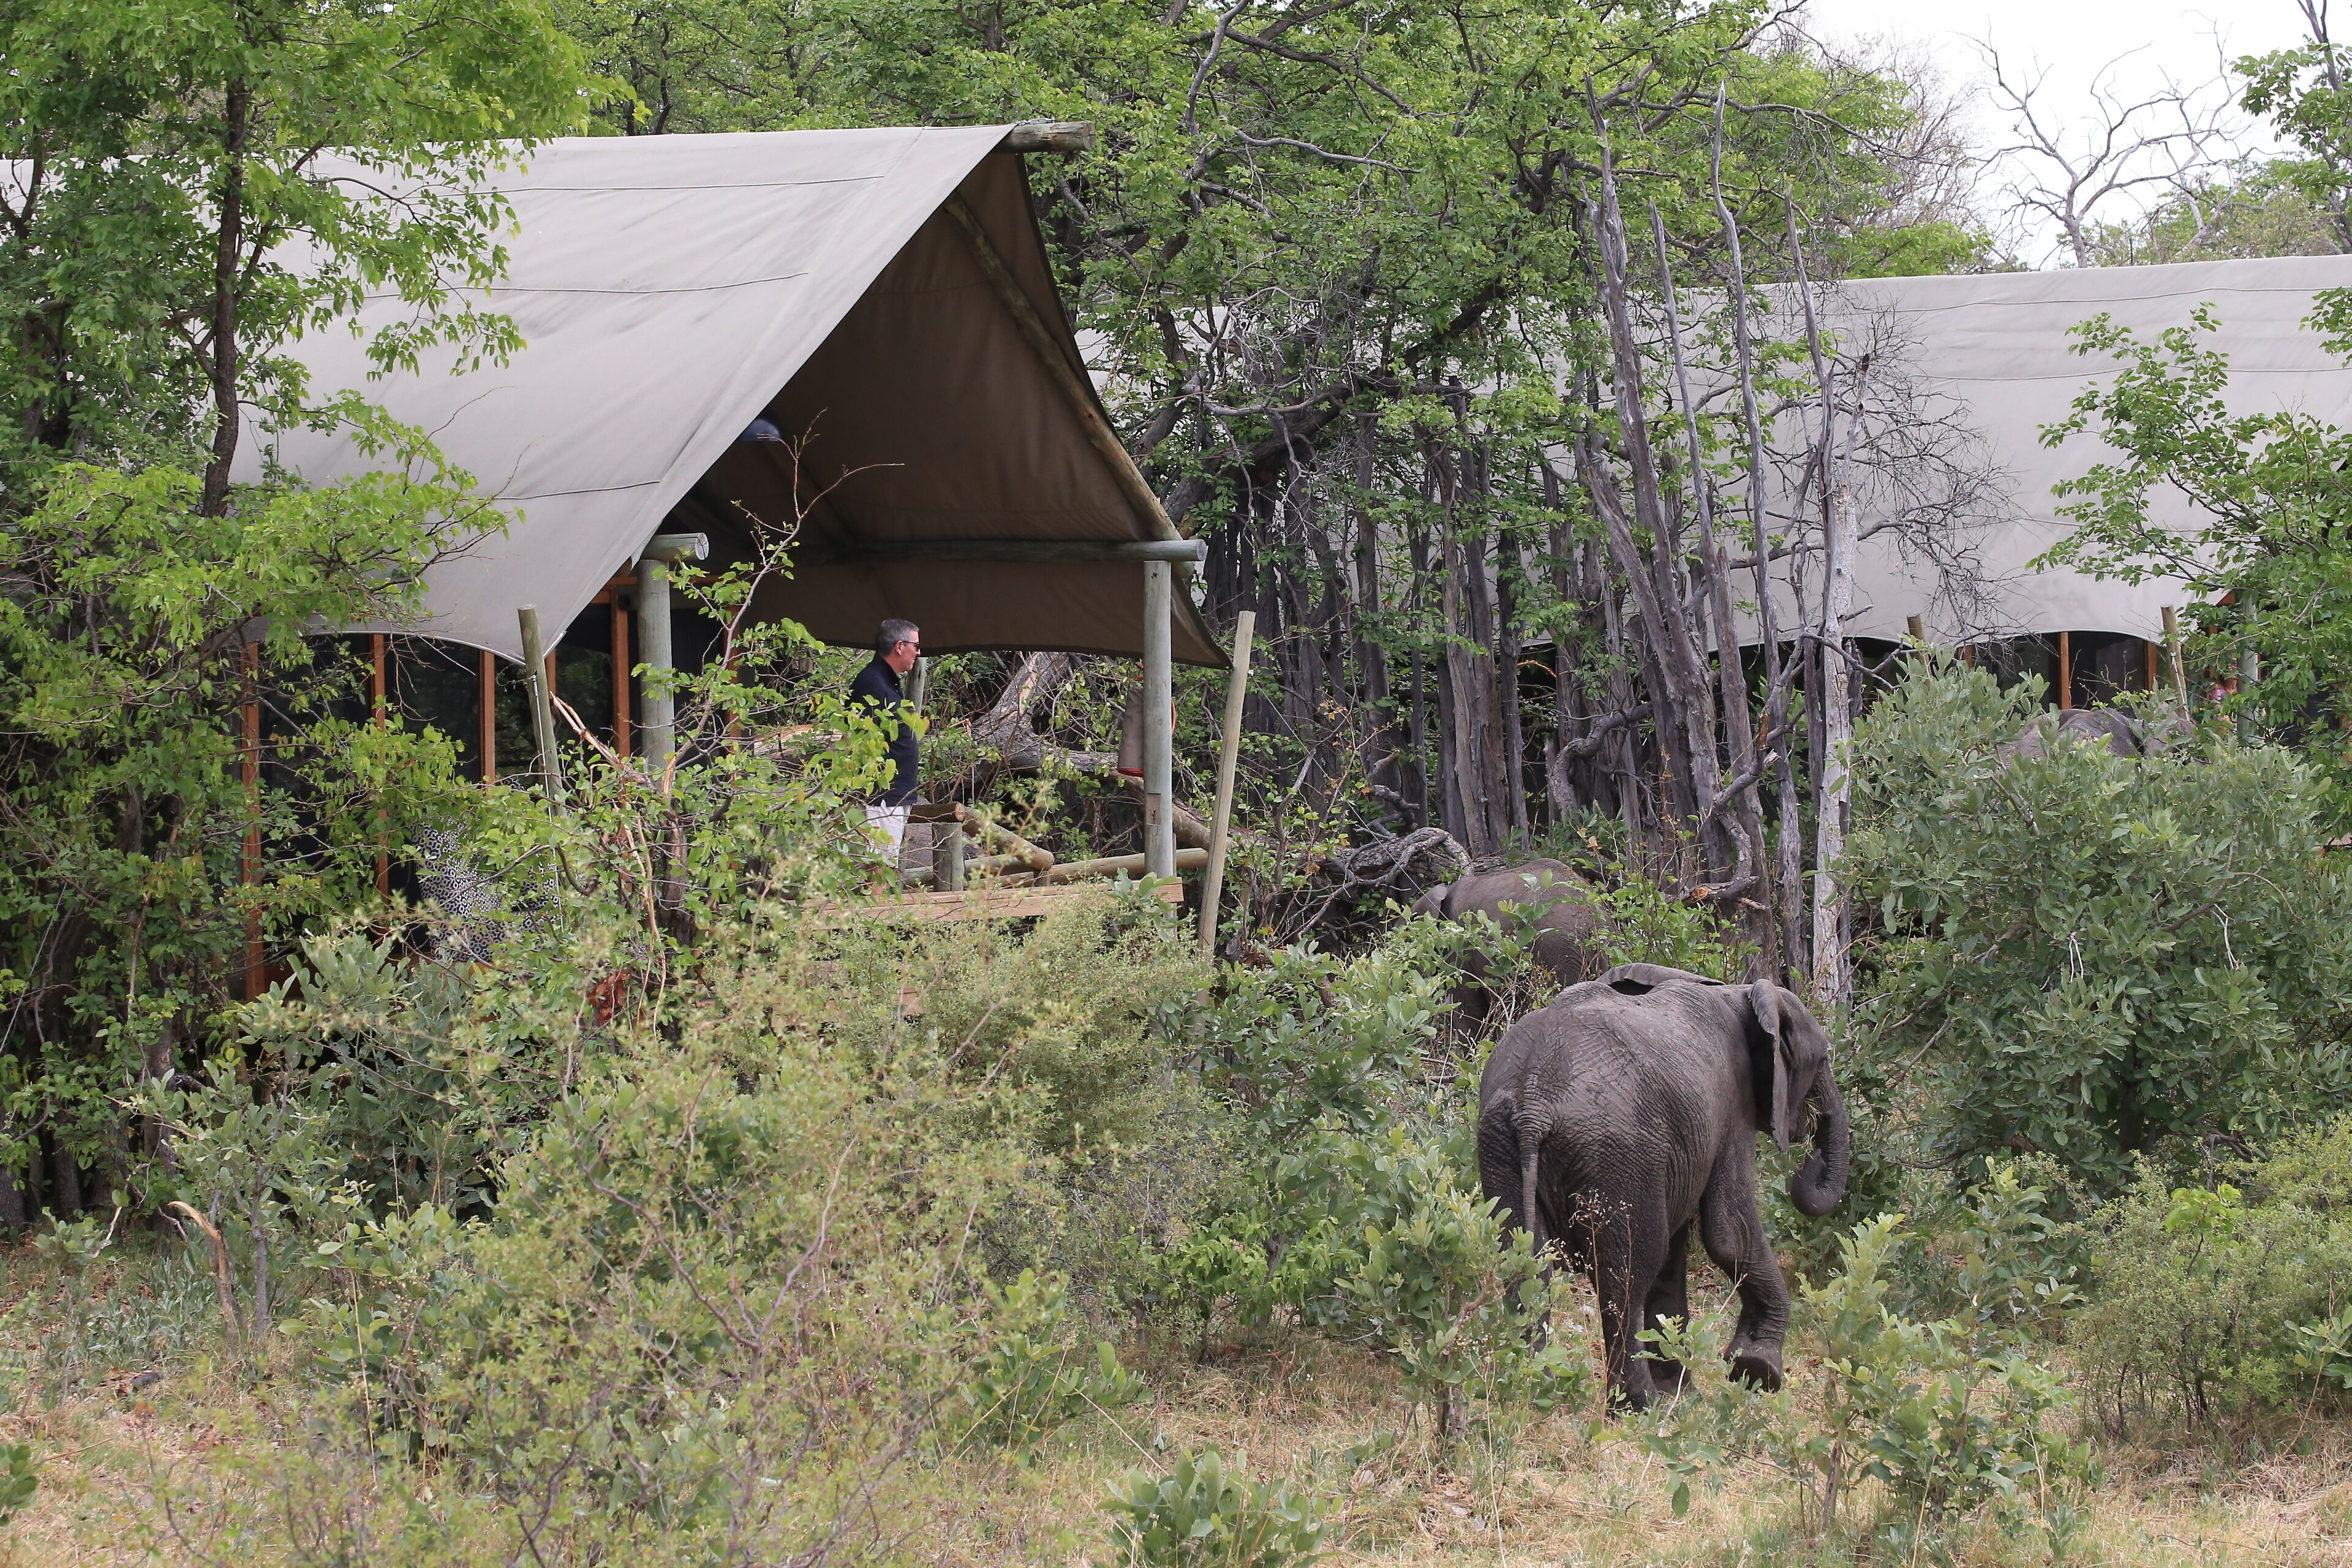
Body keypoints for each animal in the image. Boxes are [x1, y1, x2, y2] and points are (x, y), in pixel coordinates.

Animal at [1476, 962, 1850, 1411]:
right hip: (1615, 1150)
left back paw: (1536, 1393)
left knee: (1528, 1264)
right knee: (1626, 1275)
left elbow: (1677, 1253)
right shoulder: (1732, 1105)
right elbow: (1730, 1234)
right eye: (1823, 1059)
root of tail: (1534, 1101)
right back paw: (1640, 1407)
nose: (1810, 1158)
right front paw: (1757, 1371)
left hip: (1500, 1143)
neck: (1741, 995)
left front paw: (1686, 1393)